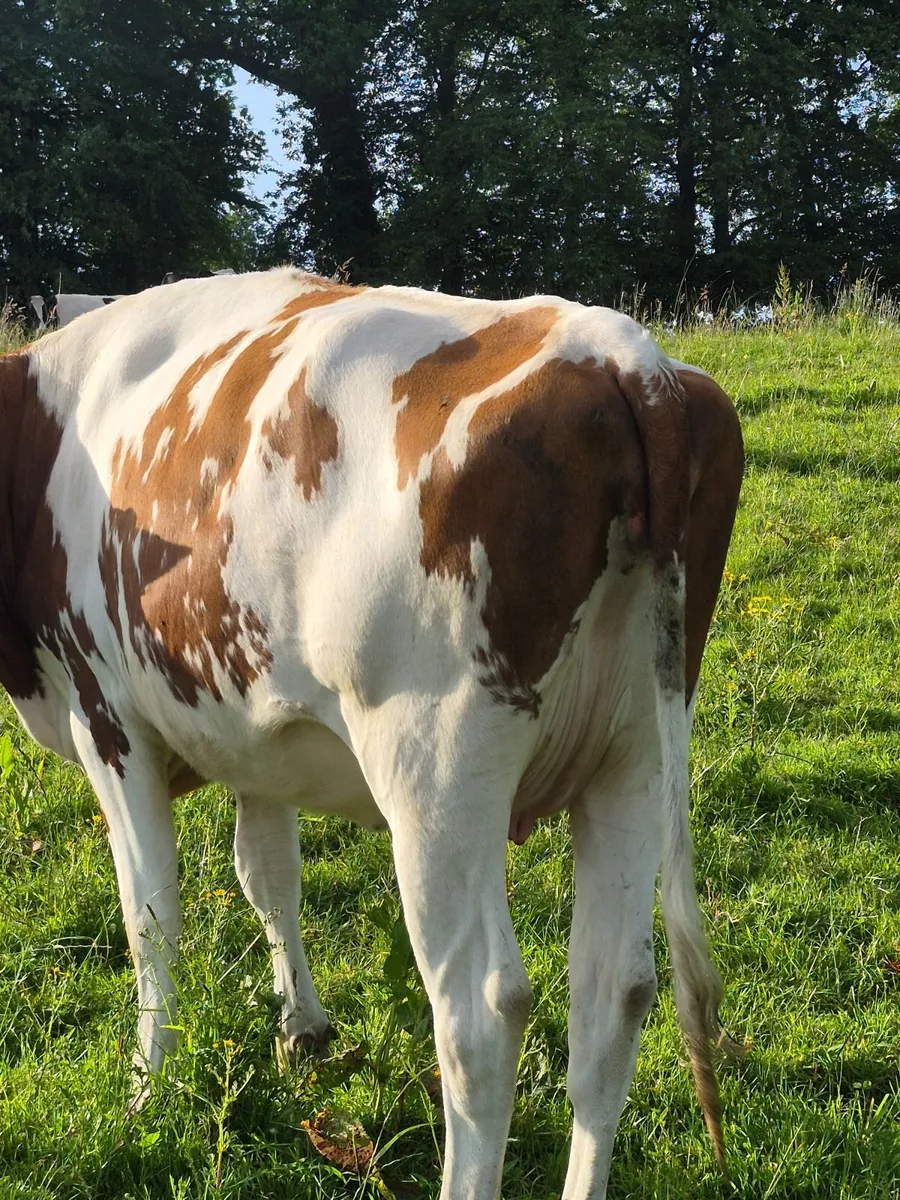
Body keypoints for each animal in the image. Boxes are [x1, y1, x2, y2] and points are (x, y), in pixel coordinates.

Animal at [0, 269, 743, 1198]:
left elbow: (150, 918)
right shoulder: (255, 737)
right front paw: (303, 1029)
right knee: (615, 994)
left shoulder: (108, 714)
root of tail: (623, 355)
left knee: (482, 1011)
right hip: (635, 755)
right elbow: (268, 876)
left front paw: (147, 1088)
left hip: (438, 774)